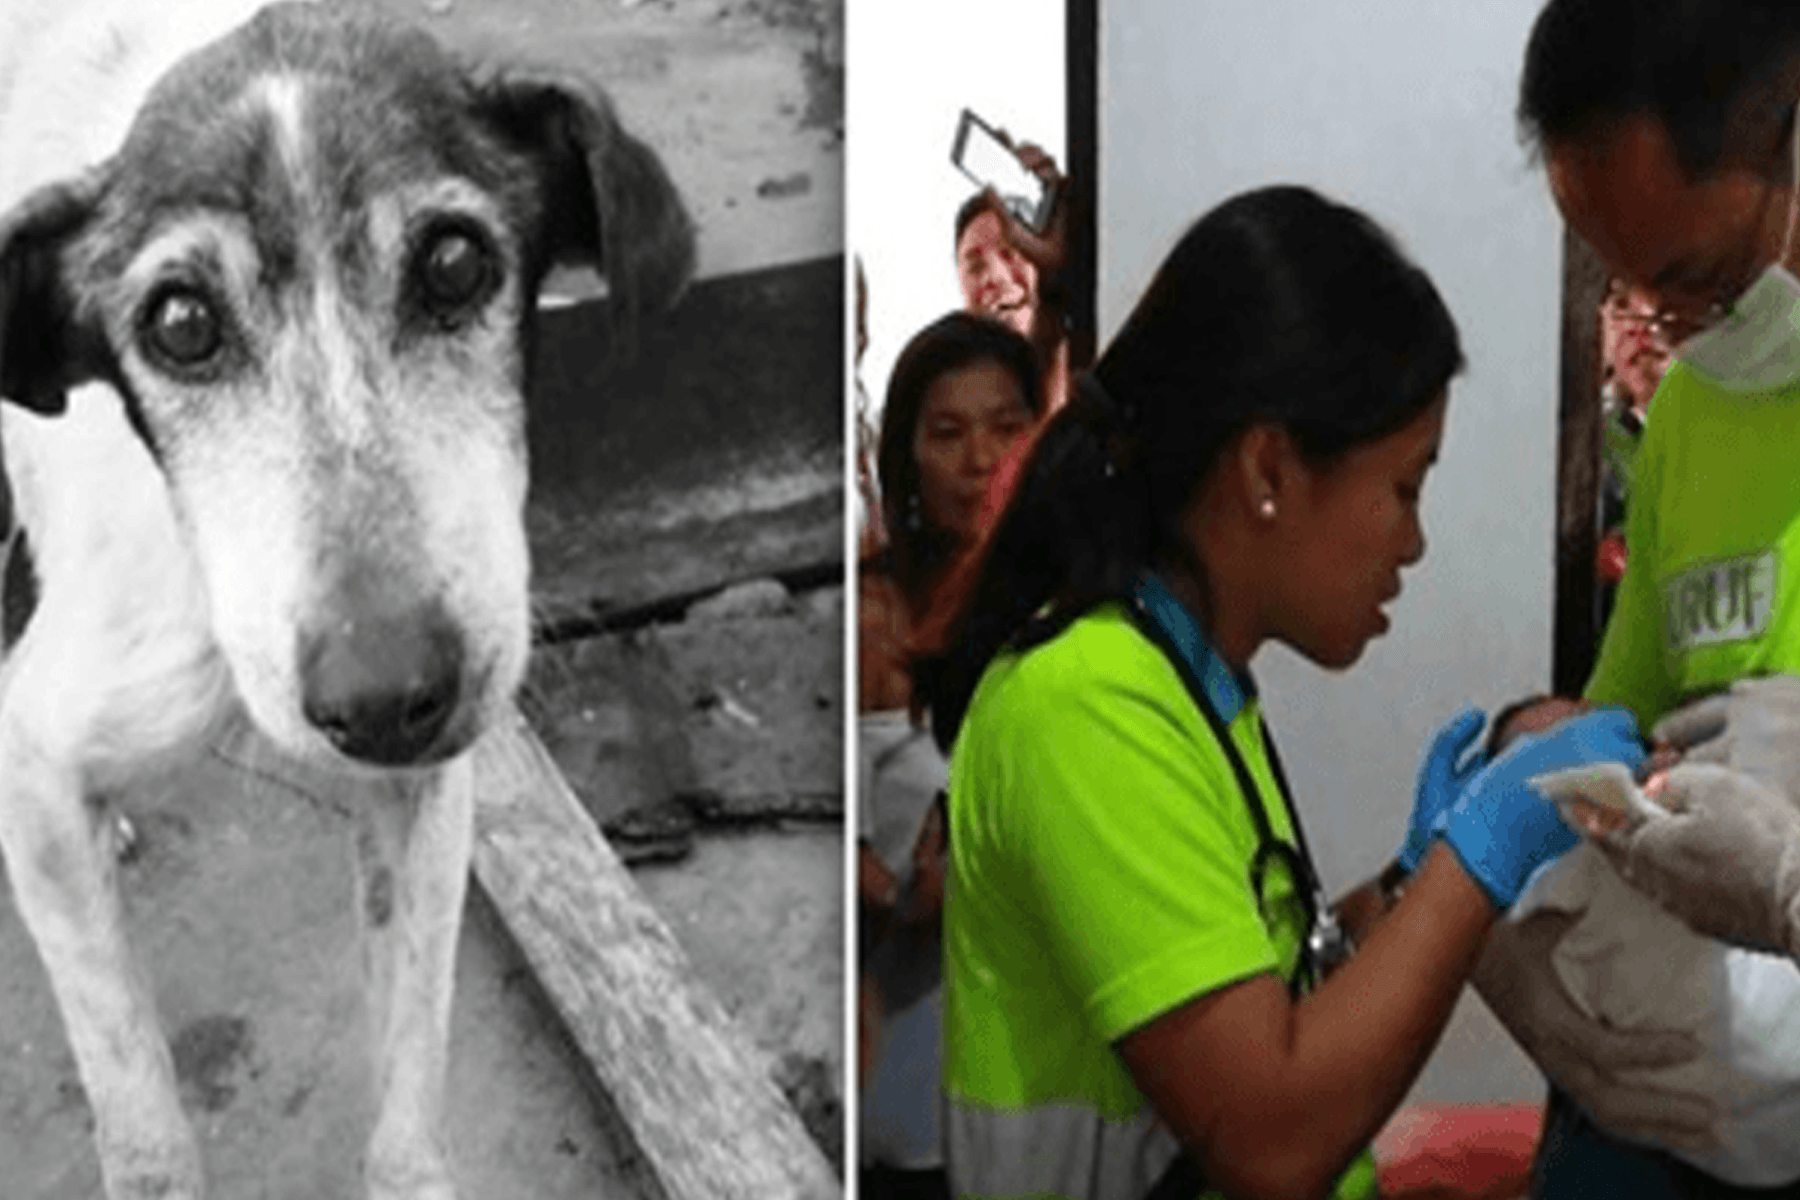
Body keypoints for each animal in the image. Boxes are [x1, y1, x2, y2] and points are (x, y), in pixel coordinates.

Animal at [0, 4, 694, 1194]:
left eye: (455, 262)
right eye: (180, 323)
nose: (381, 699)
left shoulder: (426, 792)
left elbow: (408, 1111)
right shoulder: (35, 758)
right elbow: (143, 1125)